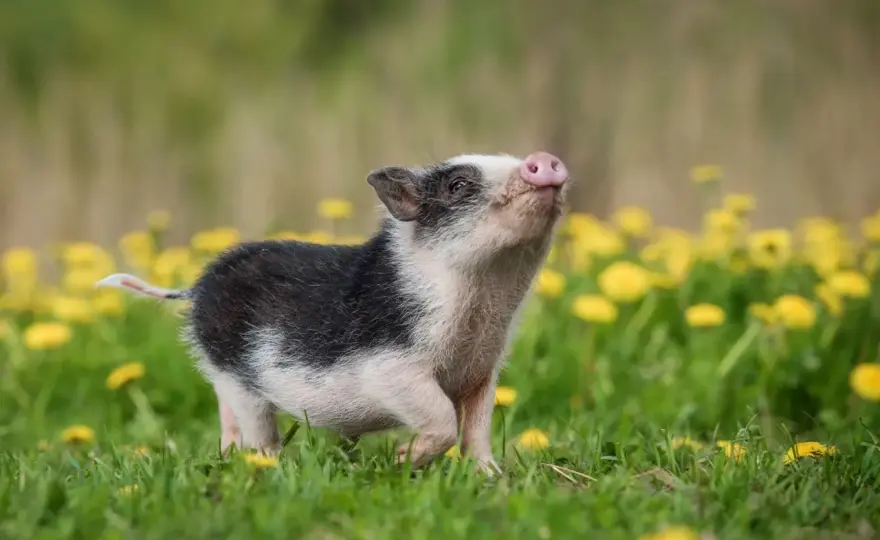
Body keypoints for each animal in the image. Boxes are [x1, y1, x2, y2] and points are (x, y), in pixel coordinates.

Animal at [96, 151, 571, 475]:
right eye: (457, 186)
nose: (543, 160)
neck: (483, 303)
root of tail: (198, 287)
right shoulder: (390, 367)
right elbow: (442, 419)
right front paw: (401, 461)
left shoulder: (482, 371)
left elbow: (476, 429)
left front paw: (492, 477)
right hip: (233, 371)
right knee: (255, 425)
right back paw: (268, 467)